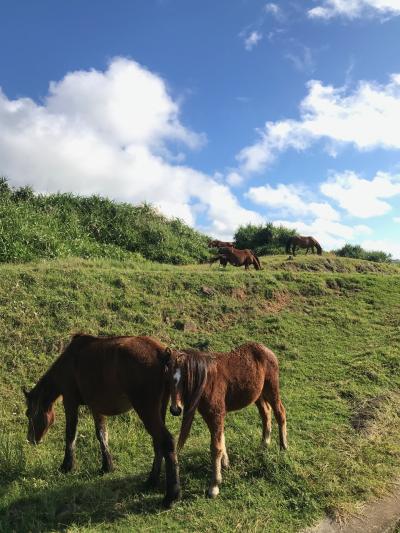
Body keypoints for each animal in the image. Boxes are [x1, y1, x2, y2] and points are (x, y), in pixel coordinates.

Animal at [22, 332, 182, 508]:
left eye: (29, 413)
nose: (31, 439)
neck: (69, 361)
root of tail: (161, 353)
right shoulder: (96, 407)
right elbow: (101, 434)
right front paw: (107, 466)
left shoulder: (70, 401)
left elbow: (71, 434)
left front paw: (67, 466)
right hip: (159, 409)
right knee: (158, 442)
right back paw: (151, 481)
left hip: (146, 409)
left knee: (167, 441)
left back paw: (171, 496)